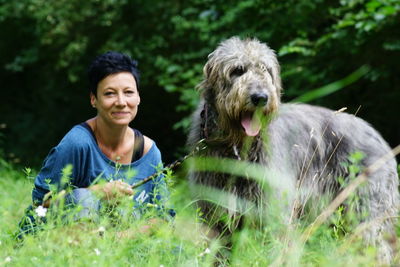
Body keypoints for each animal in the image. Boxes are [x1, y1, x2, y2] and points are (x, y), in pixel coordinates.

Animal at [188, 36, 400, 264]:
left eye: (266, 69)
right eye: (238, 70)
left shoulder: (273, 210)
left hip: (367, 206)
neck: (238, 148)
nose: (260, 97)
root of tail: (377, 136)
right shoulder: (214, 212)